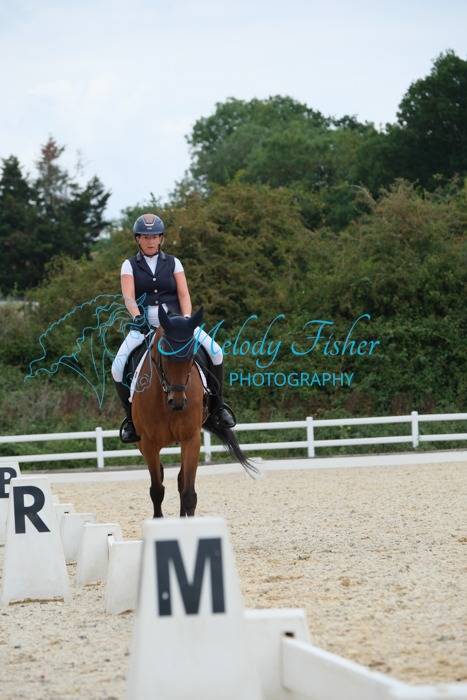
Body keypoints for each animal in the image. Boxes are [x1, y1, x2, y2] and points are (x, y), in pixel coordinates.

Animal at [131, 305, 258, 517]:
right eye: (165, 354)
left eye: (192, 356)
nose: (178, 403)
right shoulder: (148, 443)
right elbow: (157, 491)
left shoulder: (191, 438)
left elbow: (188, 493)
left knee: (181, 481)